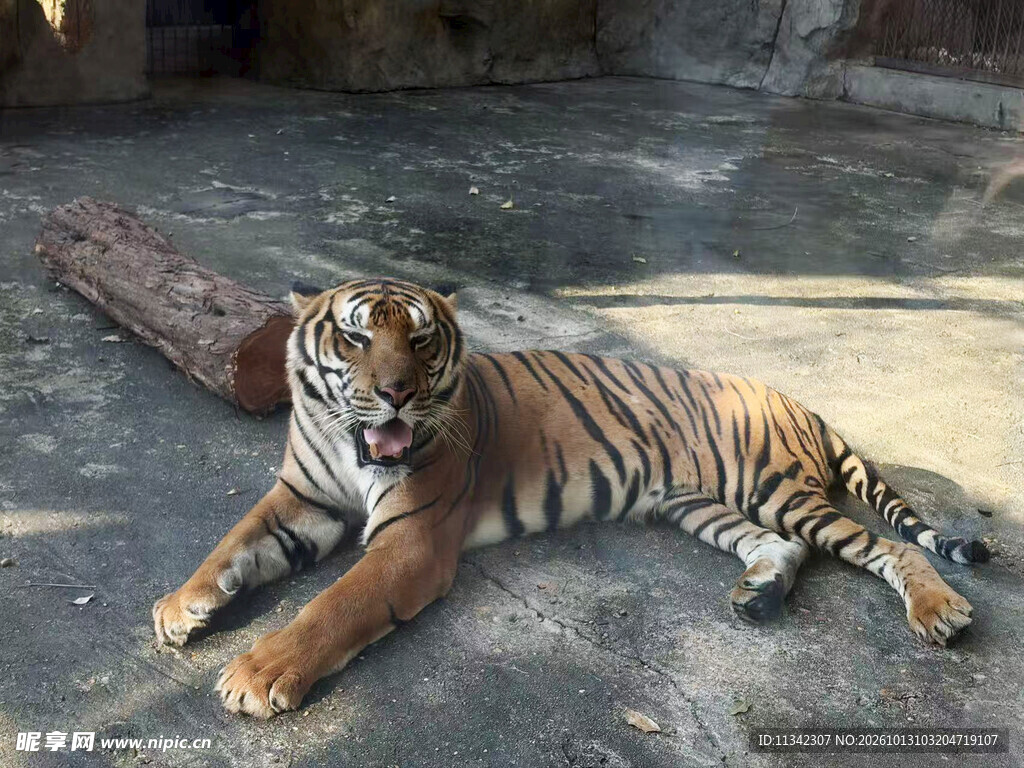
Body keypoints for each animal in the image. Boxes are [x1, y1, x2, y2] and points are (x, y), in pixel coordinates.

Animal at [152, 277, 989, 719]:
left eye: (420, 341)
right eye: (356, 339)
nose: (395, 394)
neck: (347, 441)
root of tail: (803, 404)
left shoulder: (412, 539)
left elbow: (333, 607)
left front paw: (258, 673)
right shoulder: (302, 496)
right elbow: (232, 542)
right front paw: (179, 607)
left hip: (773, 486)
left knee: (883, 546)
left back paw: (939, 611)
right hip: (698, 503)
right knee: (783, 547)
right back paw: (758, 595)